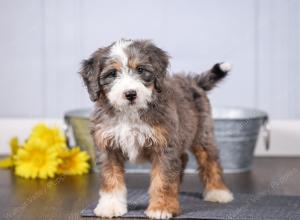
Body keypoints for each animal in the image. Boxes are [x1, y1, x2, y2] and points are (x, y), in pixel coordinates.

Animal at [80, 38, 234, 219]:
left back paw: (218, 192)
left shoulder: (164, 147)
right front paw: (110, 206)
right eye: (112, 74)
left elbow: (163, 179)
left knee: (210, 160)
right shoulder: (108, 147)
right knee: (183, 159)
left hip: (202, 132)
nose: (130, 94)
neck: (130, 114)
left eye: (140, 69)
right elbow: (110, 177)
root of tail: (193, 81)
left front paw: (162, 207)